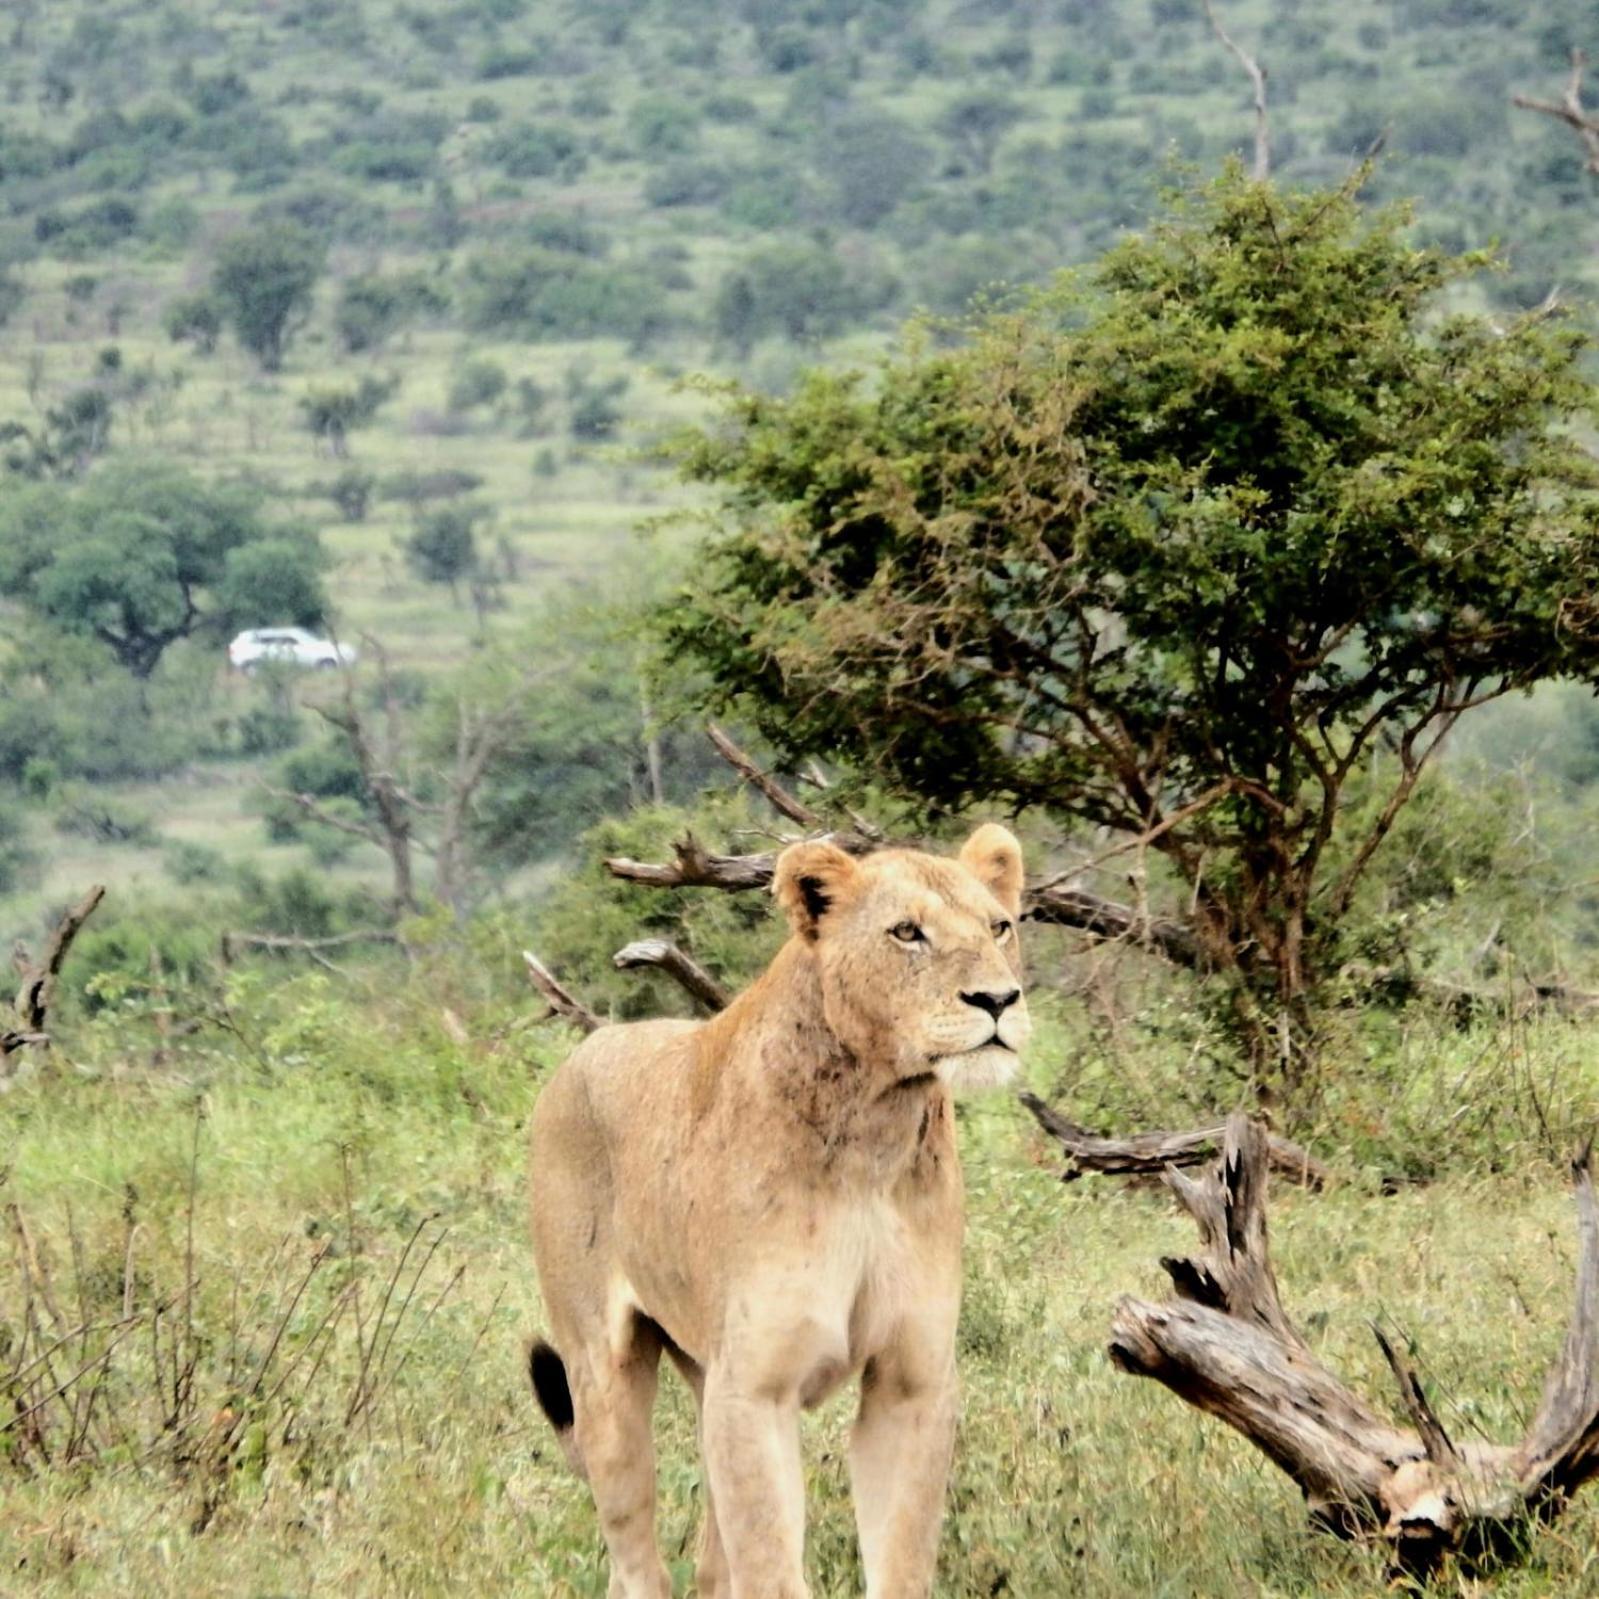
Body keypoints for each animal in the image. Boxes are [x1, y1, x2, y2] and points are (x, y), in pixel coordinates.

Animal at [524, 825, 1023, 1599]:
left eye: (998, 927)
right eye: (907, 932)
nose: (999, 999)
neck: (874, 1133)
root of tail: (584, 1051)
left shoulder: (911, 1382)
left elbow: (900, 1557)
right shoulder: (755, 1389)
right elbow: (769, 1563)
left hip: (705, 1372)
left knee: (709, 1563)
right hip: (603, 1371)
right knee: (635, 1556)